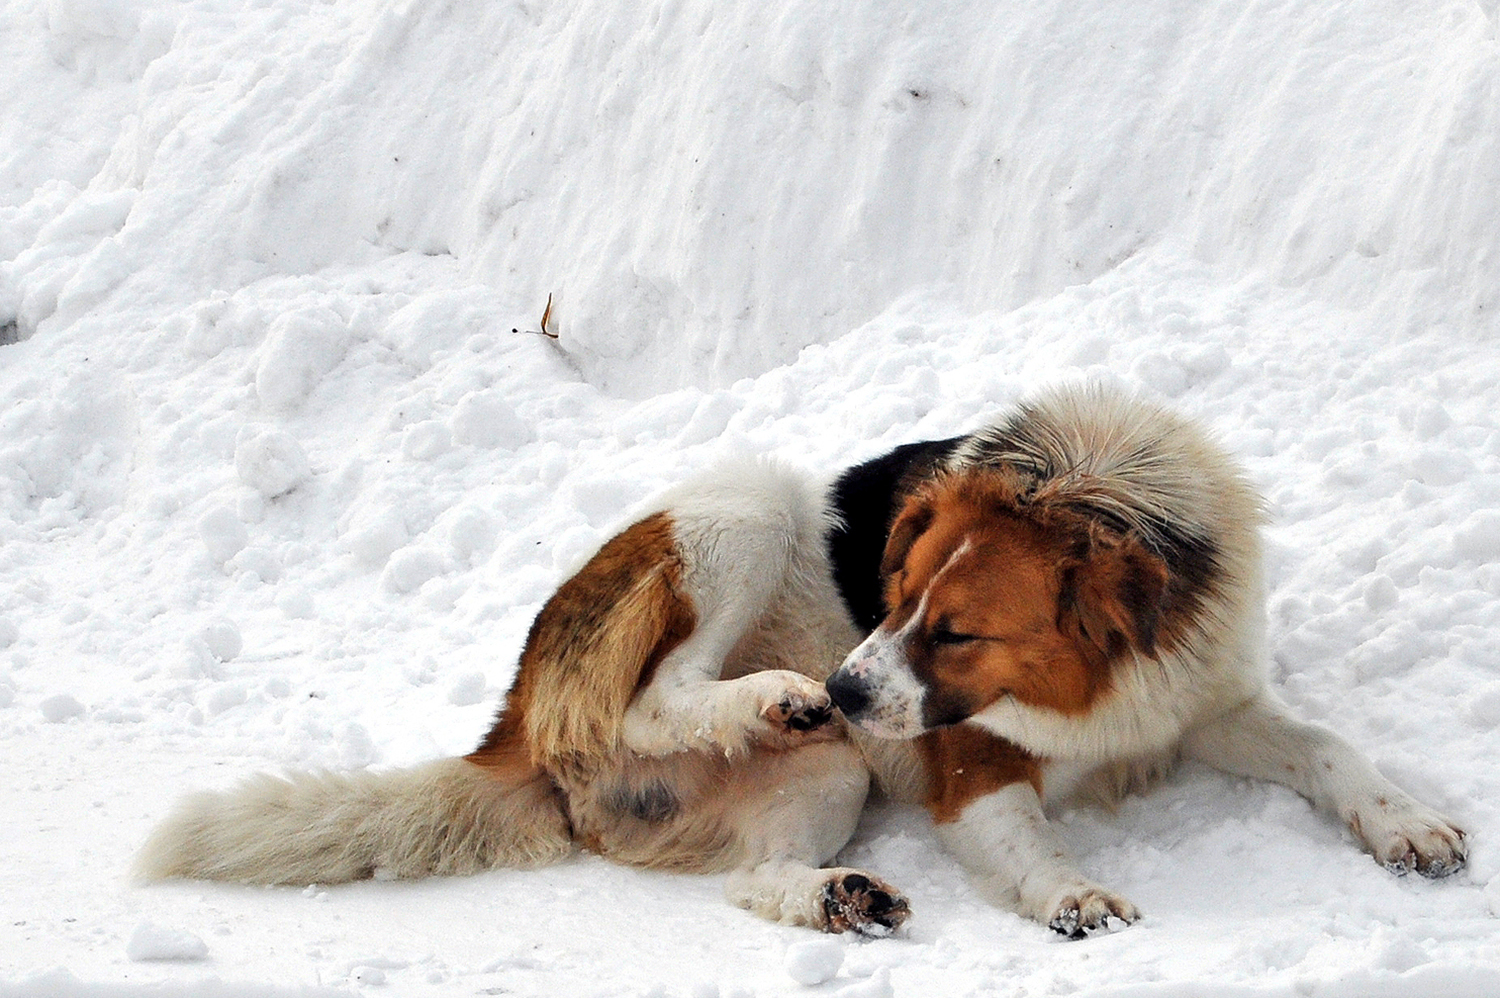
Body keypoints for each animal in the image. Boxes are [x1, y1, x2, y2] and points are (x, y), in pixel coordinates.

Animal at [137, 383, 1466, 937]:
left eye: (957, 626)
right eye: (895, 591)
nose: (845, 686)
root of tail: (515, 718)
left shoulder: (1206, 697)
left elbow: (1332, 747)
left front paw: (1408, 820)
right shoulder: (968, 765)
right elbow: (1031, 838)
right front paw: (1072, 893)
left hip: (827, 774)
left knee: (752, 877)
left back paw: (834, 884)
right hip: (745, 502)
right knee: (661, 693)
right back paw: (766, 695)